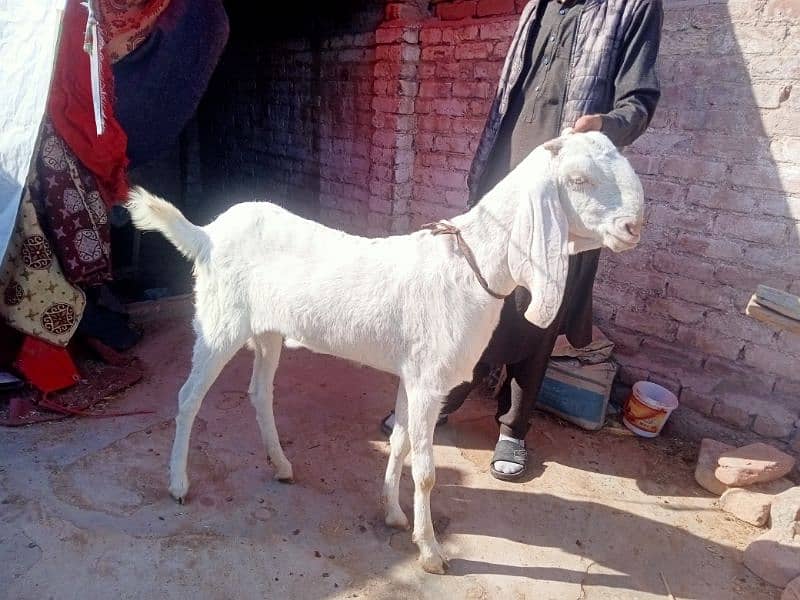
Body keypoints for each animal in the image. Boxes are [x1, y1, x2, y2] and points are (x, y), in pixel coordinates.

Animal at [128, 130, 648, 572]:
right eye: (578, 180)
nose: (633, 227)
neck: (470, 265)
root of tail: (207, 234)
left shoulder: (413, 376)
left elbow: (398, 442)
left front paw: (393, 513)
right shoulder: (429, 382)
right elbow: (428, 471)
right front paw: (431, 551)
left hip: (268, 330)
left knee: (259, 392)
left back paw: (280, 465)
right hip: (220, 322)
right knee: (189, 397)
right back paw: (178, 484)